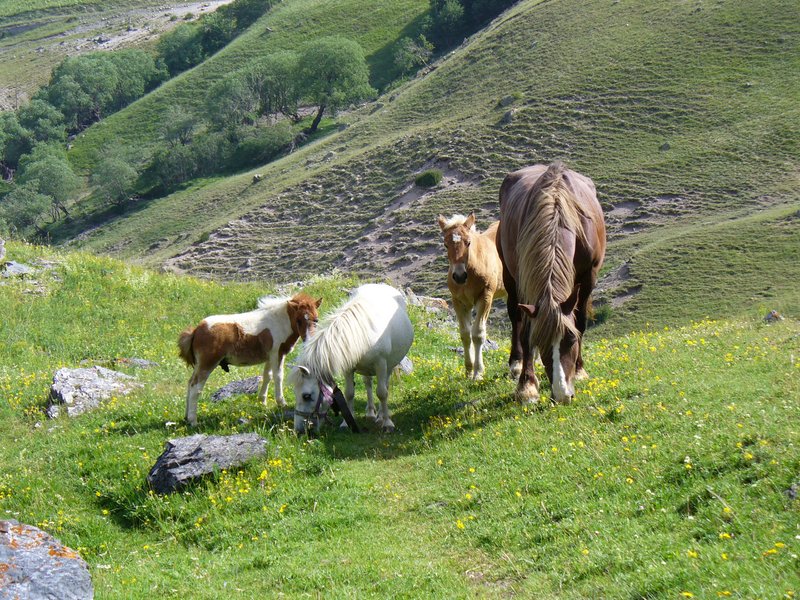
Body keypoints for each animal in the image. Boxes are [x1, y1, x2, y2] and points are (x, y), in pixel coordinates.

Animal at [288, 284, 412, 434]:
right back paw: (370, 413)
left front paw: (387, 423)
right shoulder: (348, 368)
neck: (362, 334)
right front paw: (347, 423)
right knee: (368, 383)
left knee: (384, 386)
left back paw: (381, 415)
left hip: (389, 366)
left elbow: (382, 393)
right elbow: (349, 393)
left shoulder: (381, 364)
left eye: (306, 396)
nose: (299, 430)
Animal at [438, 212, 512, 380]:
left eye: (468, 242)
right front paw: (468, 371)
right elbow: (465, 334)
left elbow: (477, 334)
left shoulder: (485, 297)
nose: (459, 276)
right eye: (445, 245)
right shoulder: (459, 302)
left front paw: (478, 373)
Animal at [496, 162, 604, 406]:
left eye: (571, 340)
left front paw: (580, 370)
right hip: (510, 278)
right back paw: (517, 363)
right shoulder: (526, 280)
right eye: (542, 342)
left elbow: (580, 322)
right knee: (515, 318)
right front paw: (527, 386)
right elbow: (526, 332)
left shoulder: (588, 278)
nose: (562, 395)